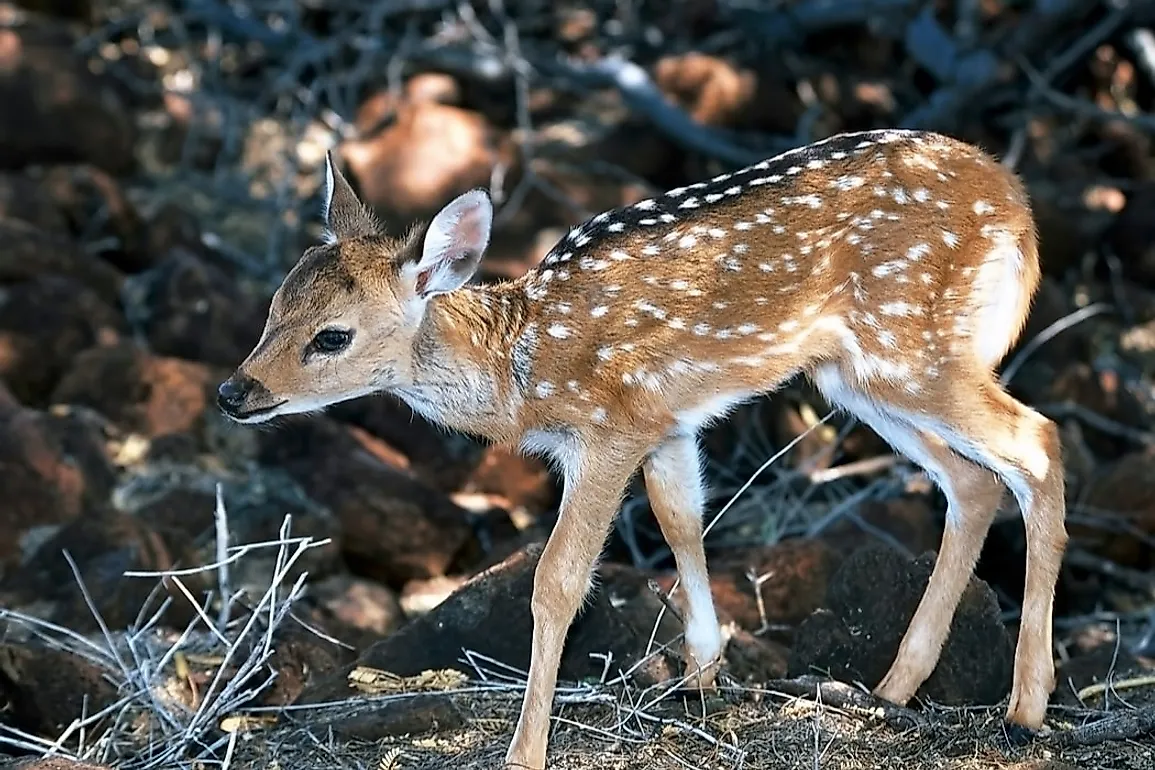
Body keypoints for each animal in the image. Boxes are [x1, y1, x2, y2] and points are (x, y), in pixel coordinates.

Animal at [220, 131, 1067, 770]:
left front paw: (526, 751)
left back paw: (1024, 708)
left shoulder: (608, 427)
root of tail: (1017, 203)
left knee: (1036, 442)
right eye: (272, 307)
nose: (234, 391)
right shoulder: (667, 423)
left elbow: (558, 581)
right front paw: (700, 675)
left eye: (333, 337)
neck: (519, 370)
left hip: (907, 344)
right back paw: (892, 688)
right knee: (971, 481)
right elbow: (681, 522)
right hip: (855, 374)